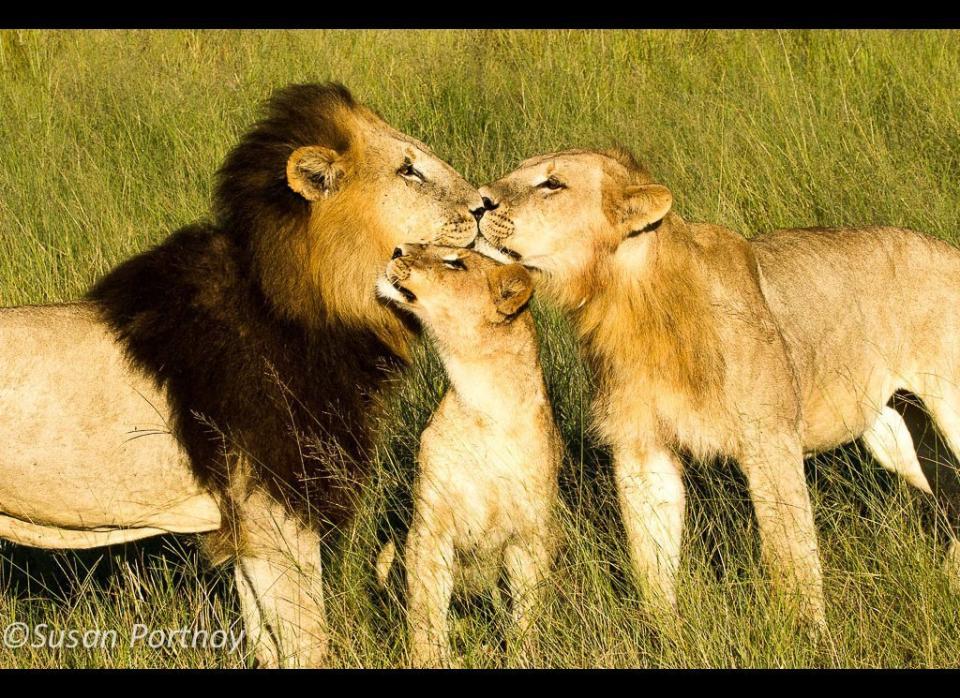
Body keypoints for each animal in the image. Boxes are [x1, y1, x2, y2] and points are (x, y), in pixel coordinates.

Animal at [0, 84, 480, 668]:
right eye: (409, 170)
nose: (485, 205)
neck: (311, 306)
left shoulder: (246, 526)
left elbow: (267, 643)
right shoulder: (275, 510)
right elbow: (308, 642)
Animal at [374, 243, 560, 664]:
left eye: (455, 263)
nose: (397, 248)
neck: (485, 407)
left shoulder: (529, 537)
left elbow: (527, 616)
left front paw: (523, 657)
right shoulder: (429, 530)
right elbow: (426, 613)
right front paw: (429, 659)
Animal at [476, 147, 960, 632]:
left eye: (552, 184)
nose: (479, 201)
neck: (626, 300)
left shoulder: (770, 440)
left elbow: (789, 552)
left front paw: (807, 634)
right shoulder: (641, 447)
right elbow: (651, 557)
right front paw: (664, 635)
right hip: (899, 436)